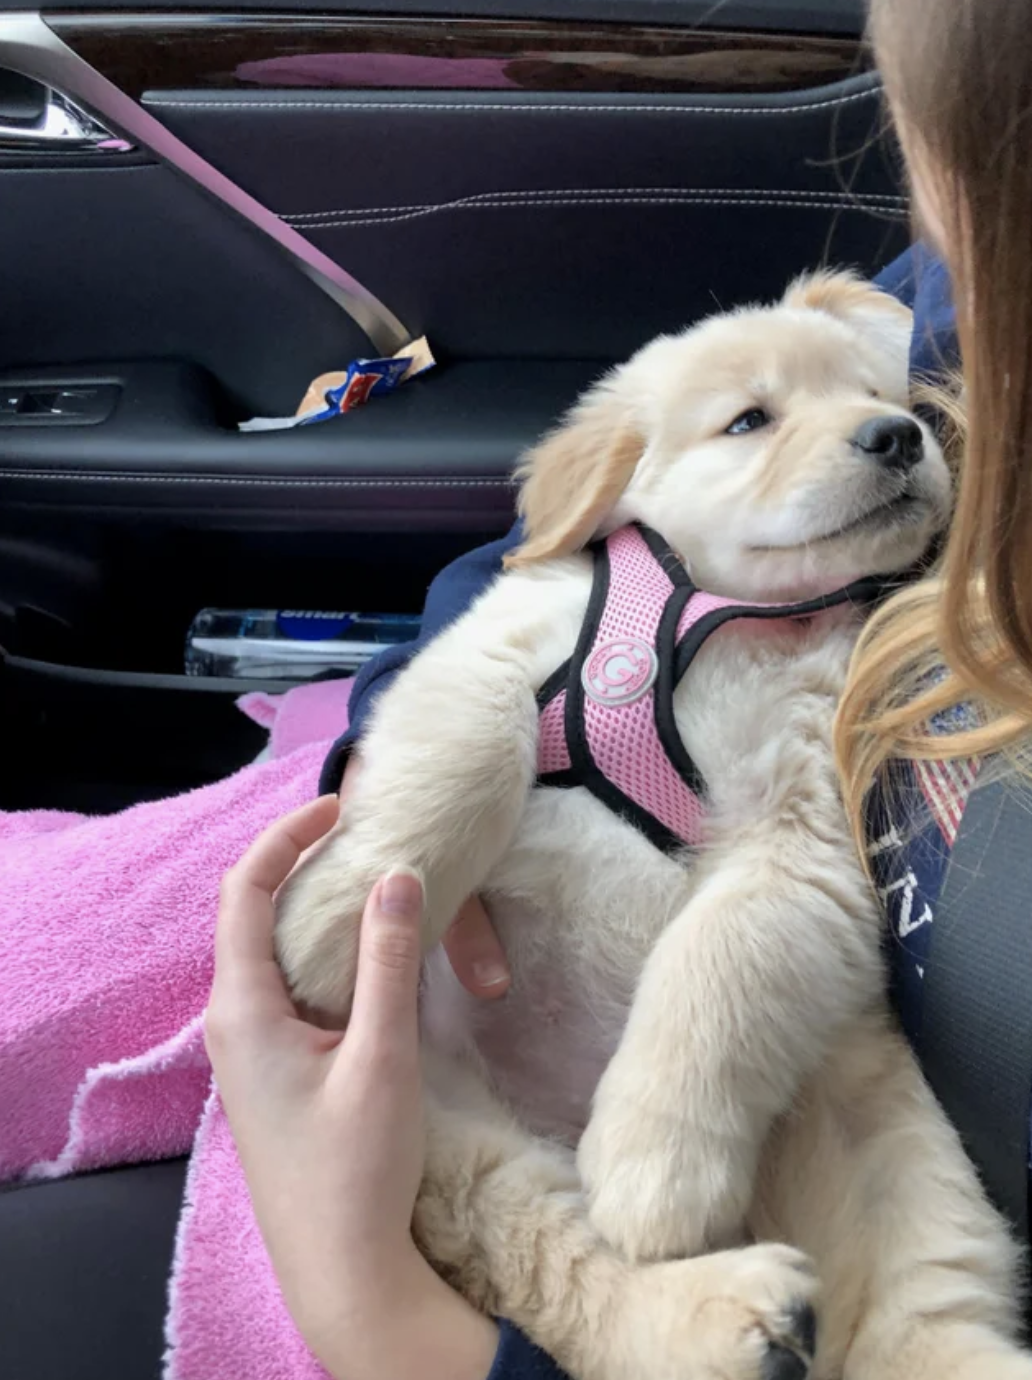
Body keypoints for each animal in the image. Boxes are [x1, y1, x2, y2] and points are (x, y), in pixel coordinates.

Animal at [270, 271, 1026, 1380]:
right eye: (750, 420)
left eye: (878, 394)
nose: (897, 435)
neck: (723, 611)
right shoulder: (495, 657)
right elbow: (463, 763)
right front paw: (334, 924)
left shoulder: (802, 826)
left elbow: (720, 962)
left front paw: (652, 1168)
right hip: (440, 1139)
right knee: (558, 1258)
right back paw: (726, 1312)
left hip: (890, 1139)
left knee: (914, 1318)